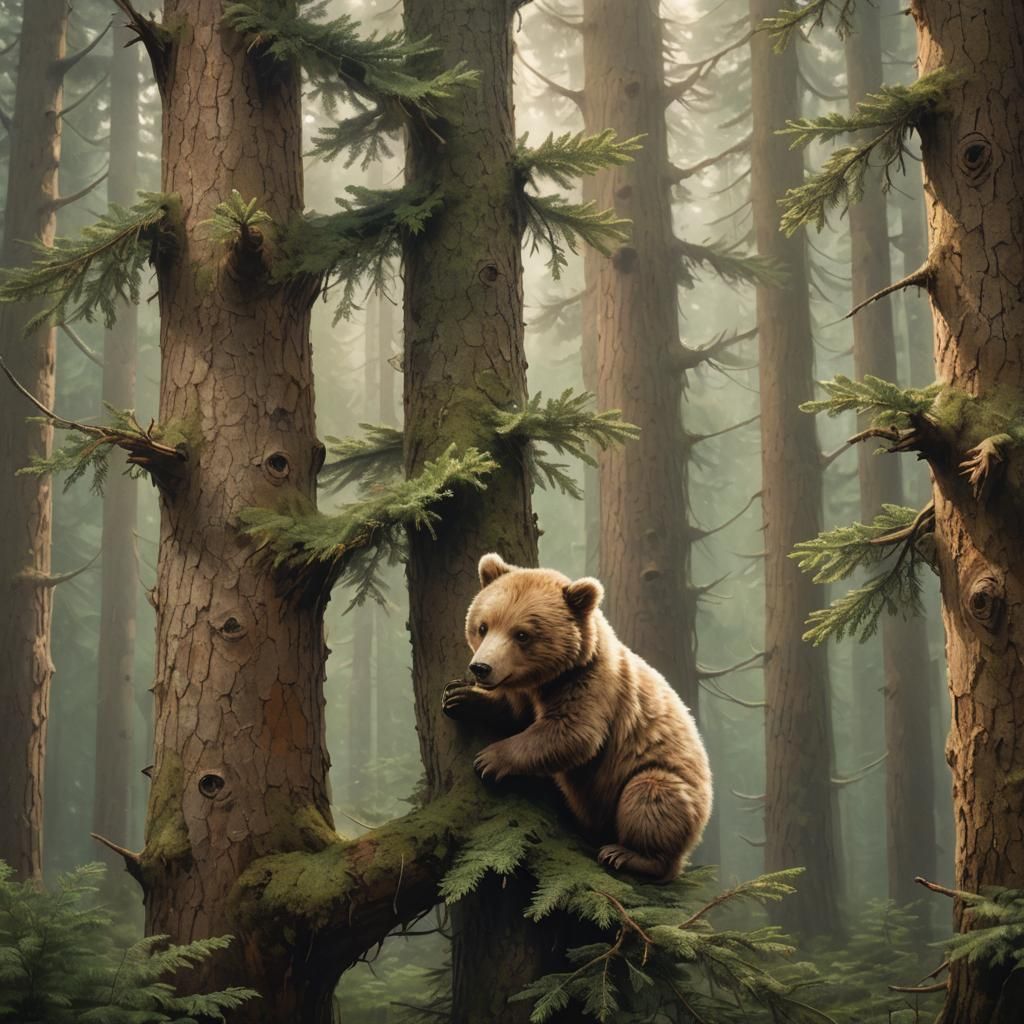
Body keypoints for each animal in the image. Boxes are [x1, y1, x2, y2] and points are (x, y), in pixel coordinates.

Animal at [441, 552, 713, 882]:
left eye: (522, 634)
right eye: (483, 626)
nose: (481, 668)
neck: (548, 678)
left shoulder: (592, 684)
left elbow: (572, 734)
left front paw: (489, 759)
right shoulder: (529, 691)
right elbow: (513, 712)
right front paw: (460, 696)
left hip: (664, 780)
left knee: (650, 799)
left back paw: (628, 855)